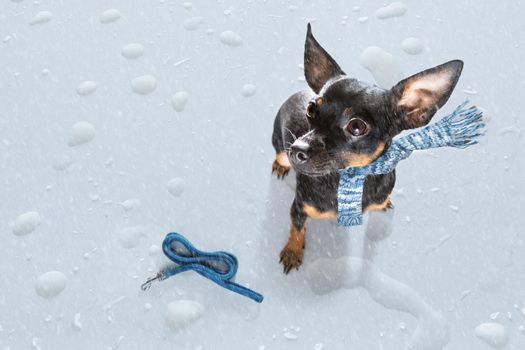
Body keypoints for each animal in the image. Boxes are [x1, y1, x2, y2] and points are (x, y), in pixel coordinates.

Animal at [272, 23, 460, 274]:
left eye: (357, 127)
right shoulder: (299, 208)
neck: (350, 179)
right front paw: (293, 251)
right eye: (311, 109)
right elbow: (297, 229)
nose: (297, 148)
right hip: (280, 146)